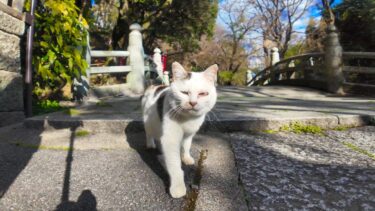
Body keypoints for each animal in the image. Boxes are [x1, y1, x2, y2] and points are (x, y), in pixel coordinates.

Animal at [141, 61, 217, 198]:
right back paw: (150, 144)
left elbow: (186, 146)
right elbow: (174, 165)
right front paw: (178, 188)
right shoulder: (170, 139)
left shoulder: (189, 134)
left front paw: (186, 158)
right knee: (149, 133)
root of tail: (154, 86)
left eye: (203, 94)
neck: (188, 119)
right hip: (148, 121)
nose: (193, 103)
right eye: (185, 93)